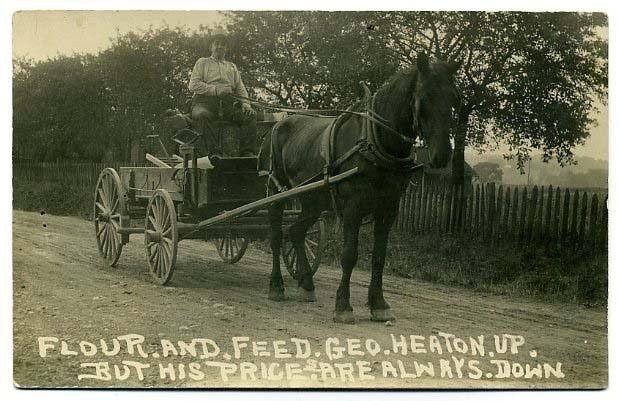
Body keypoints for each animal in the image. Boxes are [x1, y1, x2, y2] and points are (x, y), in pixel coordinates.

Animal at [260, 52, 462, 322]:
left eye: (453, 98)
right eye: (423, 98)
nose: (442, 156)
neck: (375, 140)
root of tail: (276, 125)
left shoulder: (388, 209)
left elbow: (379, 257)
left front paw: (379, 304)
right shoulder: (353, 208)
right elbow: (349, 256)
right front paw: (343, 306)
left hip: (314, 200)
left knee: (296, 232)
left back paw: (307, 284)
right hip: (276, 192)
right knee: (275, 236)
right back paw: (277, 286)